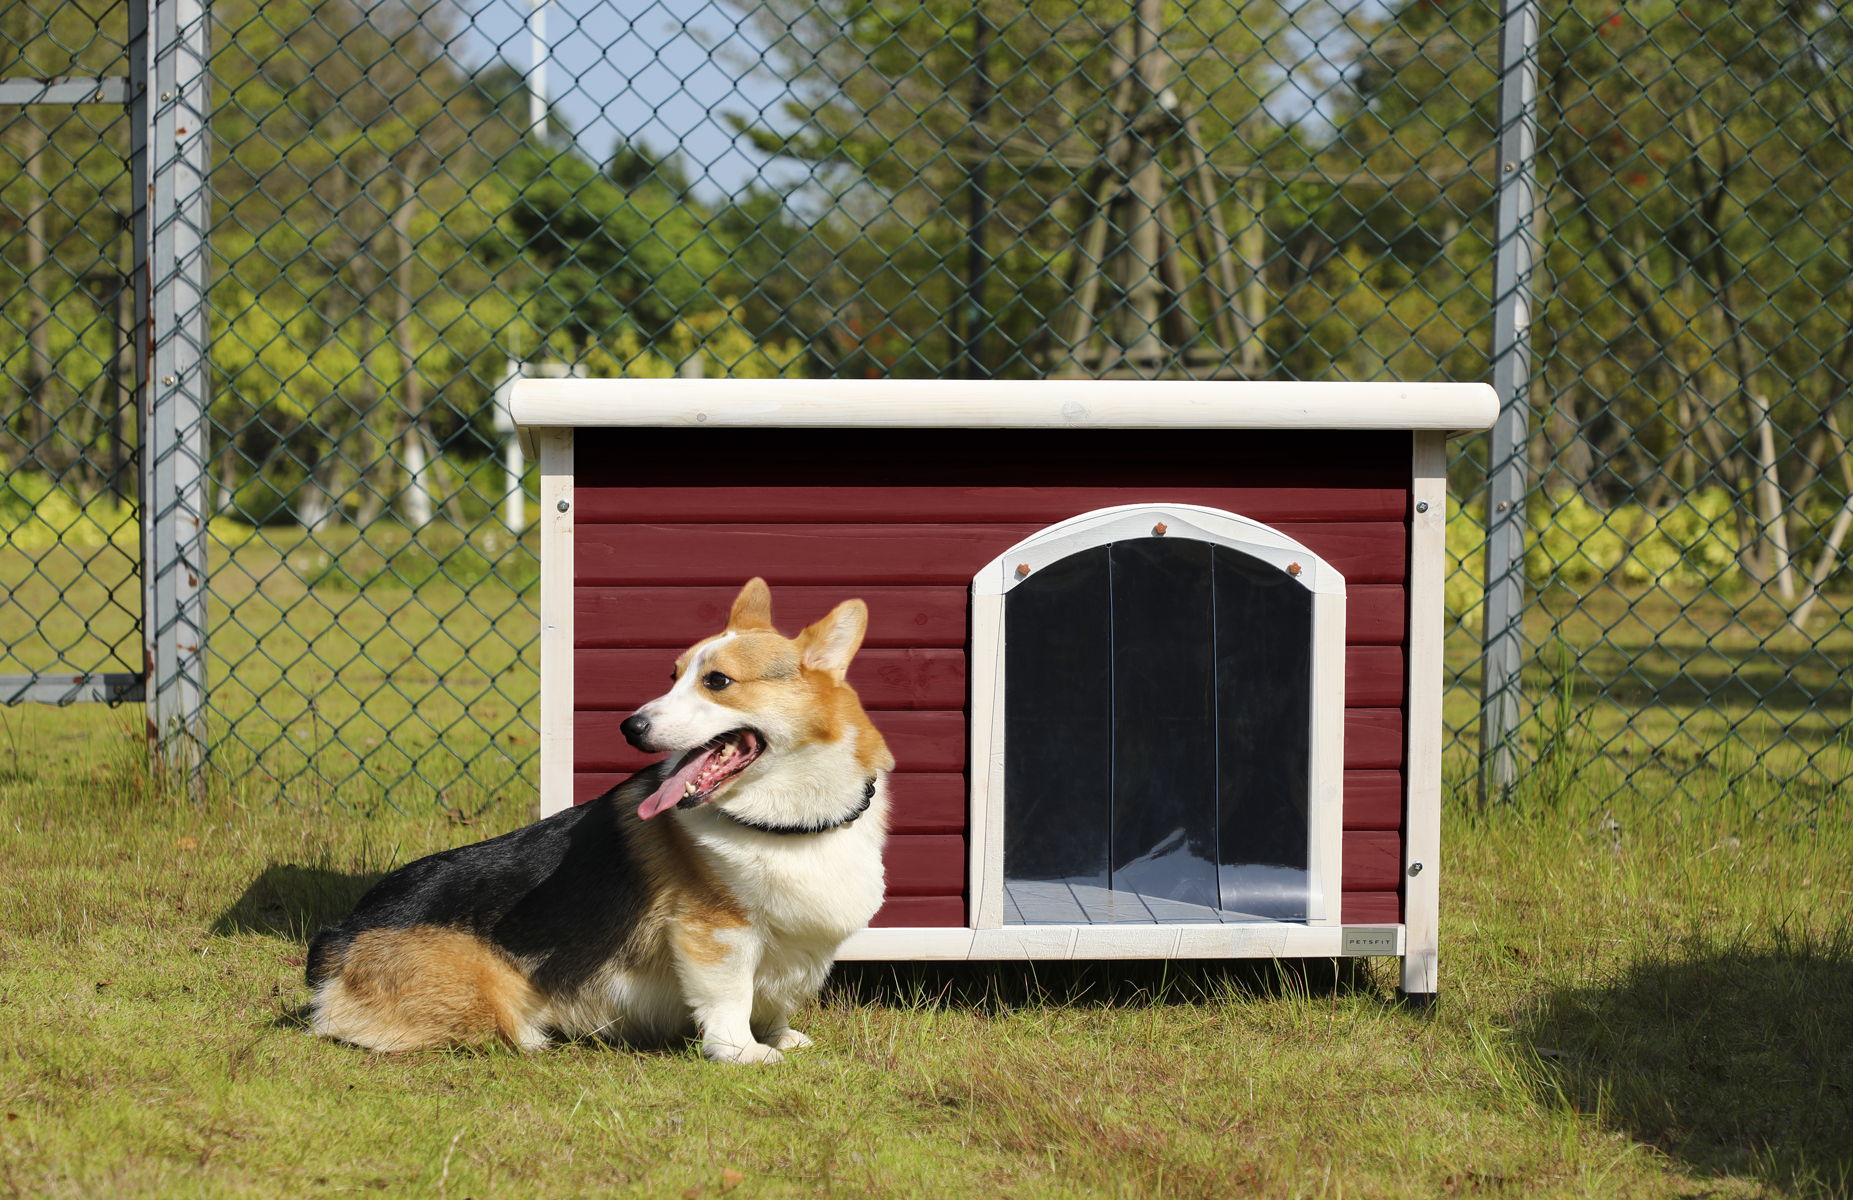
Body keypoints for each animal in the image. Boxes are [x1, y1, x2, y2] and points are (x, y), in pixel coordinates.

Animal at [305, 581, 896, 1059]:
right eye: (672, 676)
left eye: (718, 681)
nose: (629, 727)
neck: (790, 822)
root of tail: (341, 934)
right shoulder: (716, 933)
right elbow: (730, 1000)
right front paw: (745, 1053)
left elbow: (773, 1000)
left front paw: (779, 1037)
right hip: (489, 999)